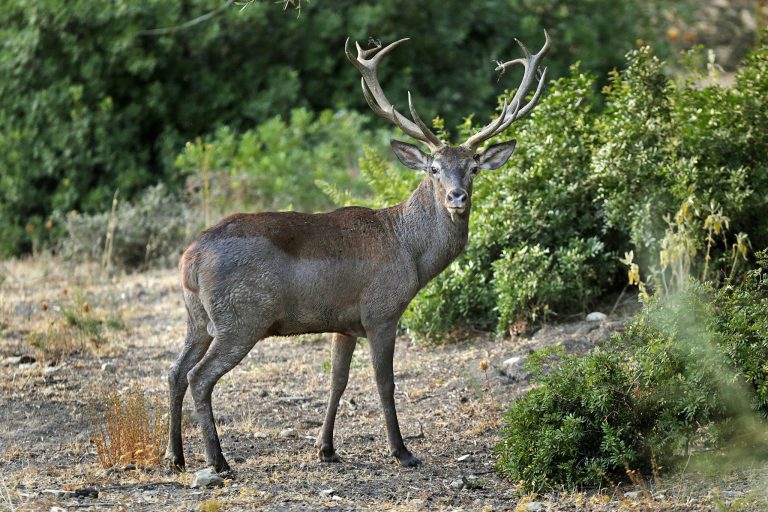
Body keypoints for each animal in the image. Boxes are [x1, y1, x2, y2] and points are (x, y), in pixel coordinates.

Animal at [168, 32, 552, 474]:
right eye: (434, 168)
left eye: (473, 167)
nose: (458, 197)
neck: (410, 252)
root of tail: (190, 260)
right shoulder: (381, 310)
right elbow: (384, 382)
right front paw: (402, 451)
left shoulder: (343, 322)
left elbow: (338, 380)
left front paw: (326, 448)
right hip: (241, 317)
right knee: (199, 377)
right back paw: (218, 461)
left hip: (197, 317)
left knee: (175, 372)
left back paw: (175, 457)